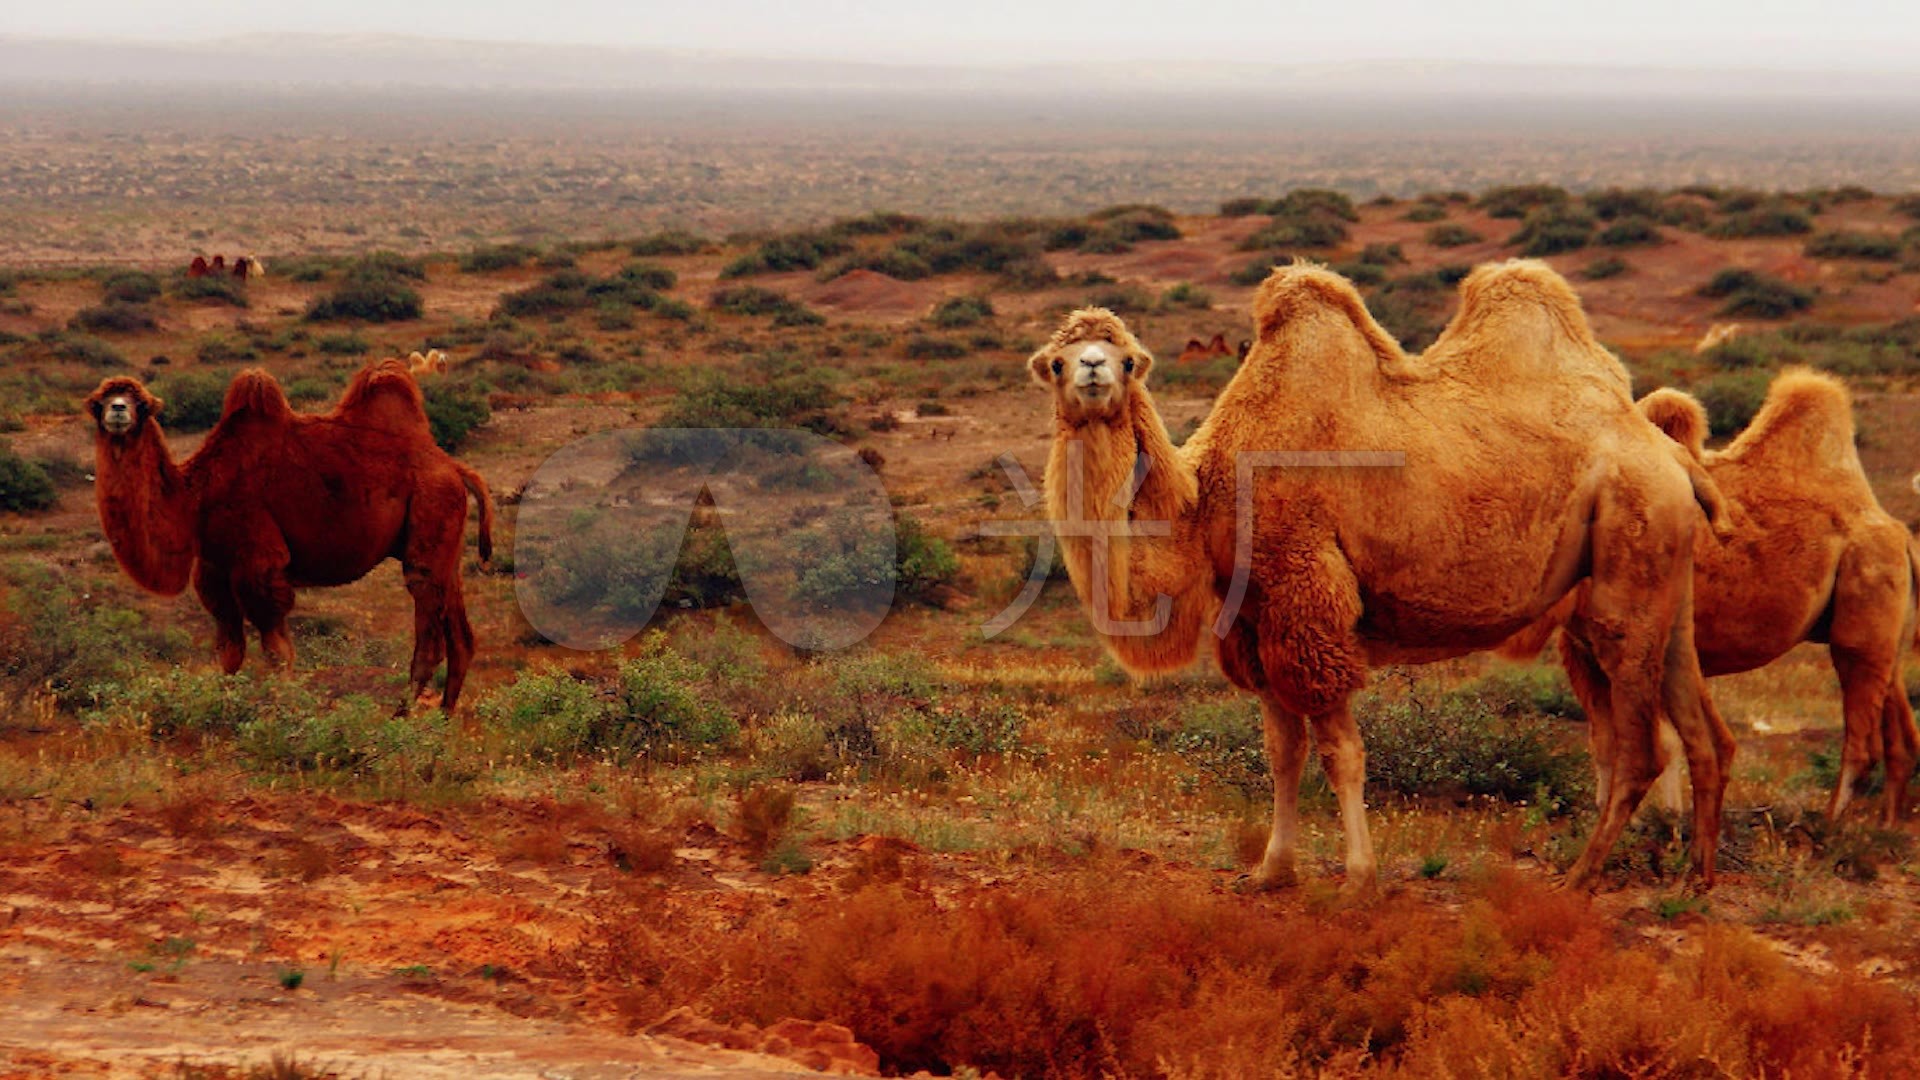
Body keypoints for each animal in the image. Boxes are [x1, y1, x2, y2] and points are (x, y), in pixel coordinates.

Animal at [89, 361, 495, 711]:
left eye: (141, 404)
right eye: (98, 402)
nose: (118, 411)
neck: (197, 498)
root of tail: (454, 467)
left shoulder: (260, 562)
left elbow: (276, 650)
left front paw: (282, 710)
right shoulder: (213, 570)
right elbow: (229, 650)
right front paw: (224, 707)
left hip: (431, 513)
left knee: (429, 634)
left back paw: (401, 719)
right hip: (446, 546)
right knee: (461, 637)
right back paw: (443, 719)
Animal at [1505, 367, 1912, 814]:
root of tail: (1897, 531)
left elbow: (1659, 743)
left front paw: (1663, 818)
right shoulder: (1583, 650)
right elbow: (1607, 744)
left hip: (1866, 603)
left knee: (1860, 739)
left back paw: (1832, 823)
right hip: (1883, 631)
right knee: (1900, 733)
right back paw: (1885, 823)